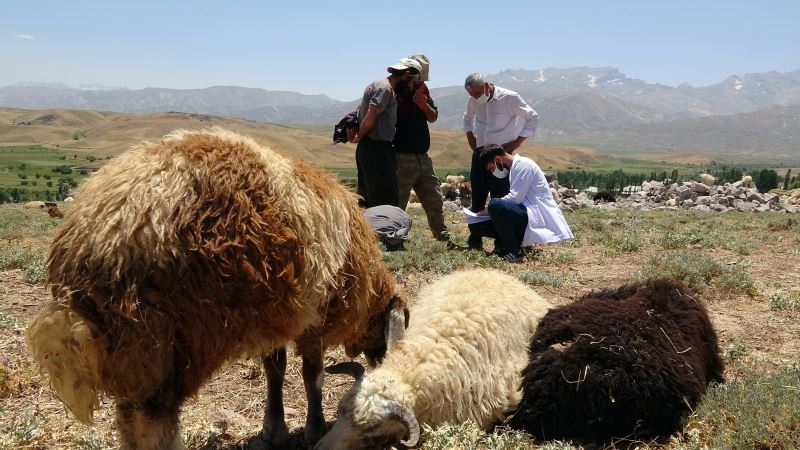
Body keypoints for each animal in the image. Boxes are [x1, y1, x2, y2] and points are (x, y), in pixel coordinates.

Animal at [26, 127, 406, 450]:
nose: (381, 361)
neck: (367, 286)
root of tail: (99, 232)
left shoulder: (278, 312)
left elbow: (275, 370)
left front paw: (274, 430)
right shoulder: (316, 316)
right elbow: (312, 376)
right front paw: (314, 429)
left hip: (134, 345)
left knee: (129, 417)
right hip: (170, 337)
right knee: (150, 419)